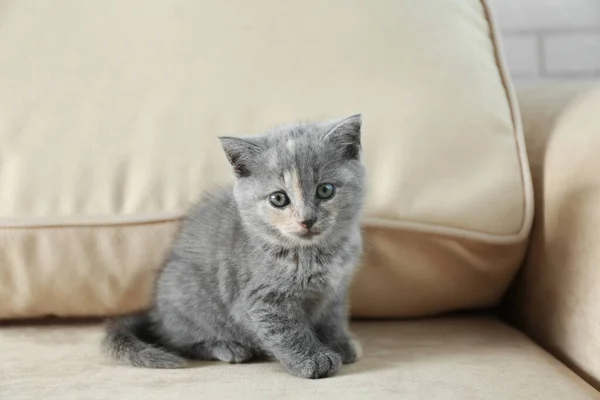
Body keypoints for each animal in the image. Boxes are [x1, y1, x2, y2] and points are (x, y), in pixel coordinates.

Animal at [103, 114, 366, 380]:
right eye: (278, 198)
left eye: (325, 190)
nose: (307, 220)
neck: (316, 253)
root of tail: (155, 314)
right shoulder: (261, 299)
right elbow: (286, 331)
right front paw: (312, 358)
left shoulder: (336, 289)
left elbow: (333, 318)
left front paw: (339, 343)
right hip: (187, 296)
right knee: (180, 340)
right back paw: (227, 347)